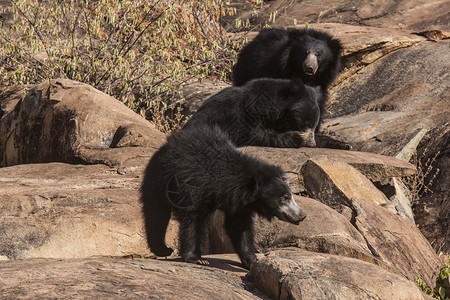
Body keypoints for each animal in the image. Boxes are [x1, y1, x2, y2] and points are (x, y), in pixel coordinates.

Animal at [141, 125, 308, 268]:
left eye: (290, 195)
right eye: (284, 198)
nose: (302, 215)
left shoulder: (240, 203)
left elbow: (239, 227)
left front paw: (252, 260)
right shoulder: (192, 184)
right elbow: (191, 220)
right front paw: (196, 259)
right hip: (159, 179)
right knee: (156, 213)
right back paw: (163, 249)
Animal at [183, 77, 320, 148]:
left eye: (314, 126)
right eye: (307, 123)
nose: (312, 144)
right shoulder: (246, 112)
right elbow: (250, 133)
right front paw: (296, 138)